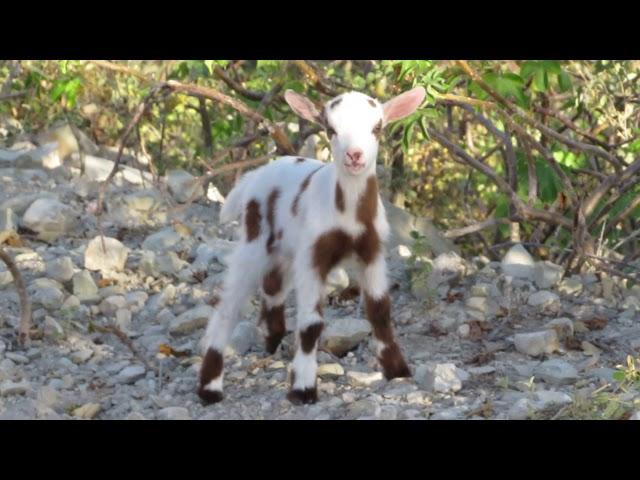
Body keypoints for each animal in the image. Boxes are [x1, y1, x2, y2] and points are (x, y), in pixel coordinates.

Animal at [198, 84, 428, 404]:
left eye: (377, 128)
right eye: (330, 129)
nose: (354, 156)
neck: (347, 215)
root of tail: (253, 176)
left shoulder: (372, 252)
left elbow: (380, 311)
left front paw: (398, 369)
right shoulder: (313, 255)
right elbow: (311, 324)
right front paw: (303, 388)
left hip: (282, 247)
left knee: (273, 285)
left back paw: (273, 339)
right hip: (255, 239)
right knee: (228, 307)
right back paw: (210, 387)